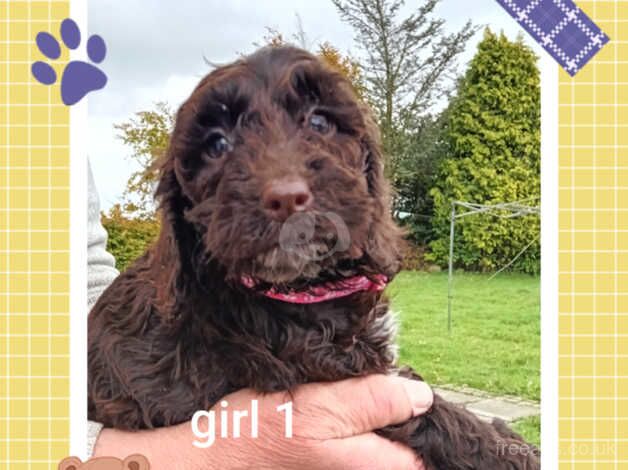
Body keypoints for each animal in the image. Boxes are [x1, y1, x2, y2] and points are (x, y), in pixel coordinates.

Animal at [89, 45, 540, 470]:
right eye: (217, 144)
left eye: (320, 122)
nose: (286, 197)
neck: (304, 287)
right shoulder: (326, 369)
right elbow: (425, 407)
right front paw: (511, 452)